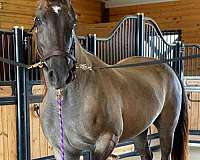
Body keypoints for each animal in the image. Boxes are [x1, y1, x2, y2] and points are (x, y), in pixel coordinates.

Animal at [35, 0, 188, 160]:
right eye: (38, 20)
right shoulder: (63, 149)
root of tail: (169, 70)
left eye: (74, 22)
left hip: (167, 129)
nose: (60, 74)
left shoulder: (106, 141)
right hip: (139, 131)